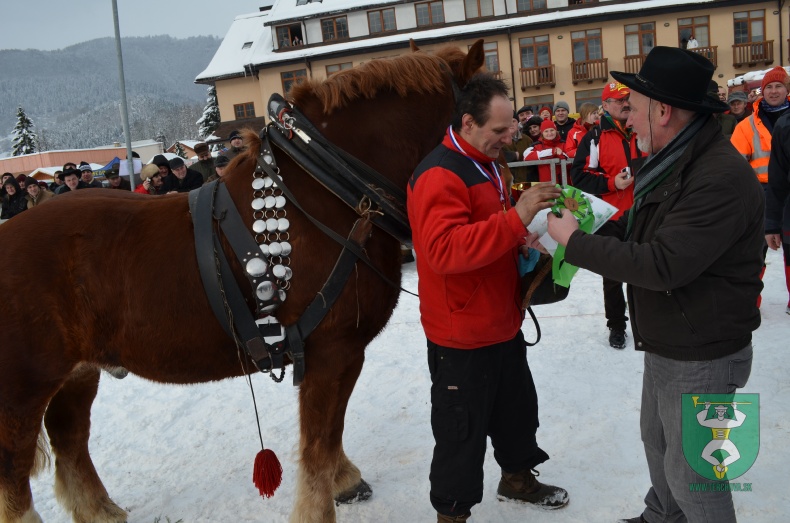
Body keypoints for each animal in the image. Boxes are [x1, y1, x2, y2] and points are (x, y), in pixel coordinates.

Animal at [0, 41, 486, 523]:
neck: (328, 187)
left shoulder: (336, 354)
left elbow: (329, 436)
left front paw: (344, 479)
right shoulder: (334, 351)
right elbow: (319, 443)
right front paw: (320, 504)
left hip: (77, 374)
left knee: (70, 442)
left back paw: (100, 511)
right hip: (23, 389)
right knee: (15, 473)